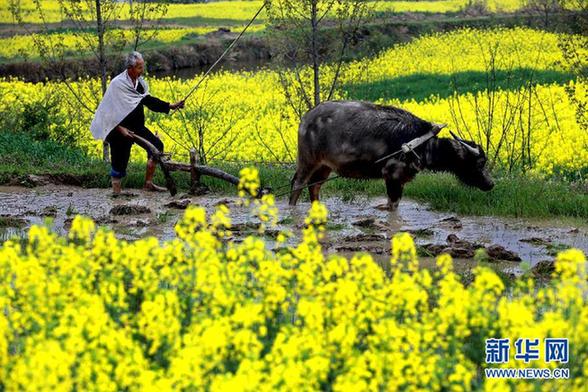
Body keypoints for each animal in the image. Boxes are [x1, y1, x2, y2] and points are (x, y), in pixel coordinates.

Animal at [288, 101, 492, 210]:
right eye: (480, 162)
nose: (491, 184)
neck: (420, 142)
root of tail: (306, 119)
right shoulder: (392, 176)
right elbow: (392, 205)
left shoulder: (399, 179)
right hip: (307, 161)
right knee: (298, 184)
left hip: (325, 166)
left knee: (314, 186)